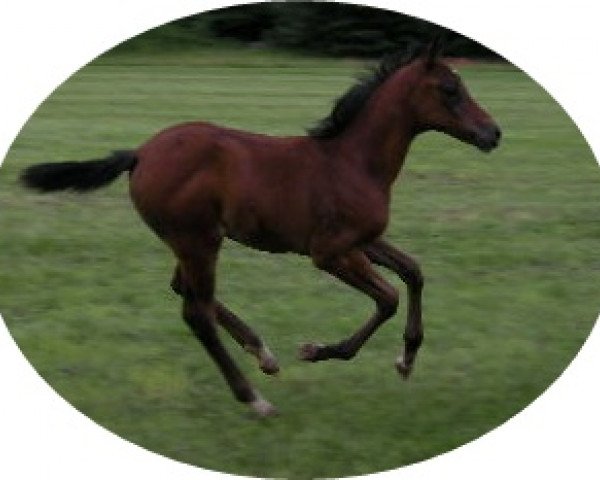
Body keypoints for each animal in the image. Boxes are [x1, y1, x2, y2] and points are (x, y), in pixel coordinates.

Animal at [19, 40, 502, 416]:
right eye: (450, 90)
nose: (493, 133)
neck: (352, 161)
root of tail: (139, 154)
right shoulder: (329, 252)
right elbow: (388, 298)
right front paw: (319, 351)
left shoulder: (363, 240)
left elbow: (414, 272)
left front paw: (406, 360)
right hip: (198, 239)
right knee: (195, 311)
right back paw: (254, 398)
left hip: (190, 241)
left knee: (185, 291)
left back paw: (262, 353)